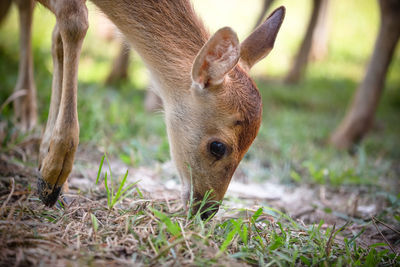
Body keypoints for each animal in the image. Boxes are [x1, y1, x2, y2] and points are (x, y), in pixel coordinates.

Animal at [8, 0, 284, 220]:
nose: (206, 211)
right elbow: (73, 21)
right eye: (217, 146)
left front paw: (49, 173)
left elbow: (57, 37)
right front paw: (52, 176)